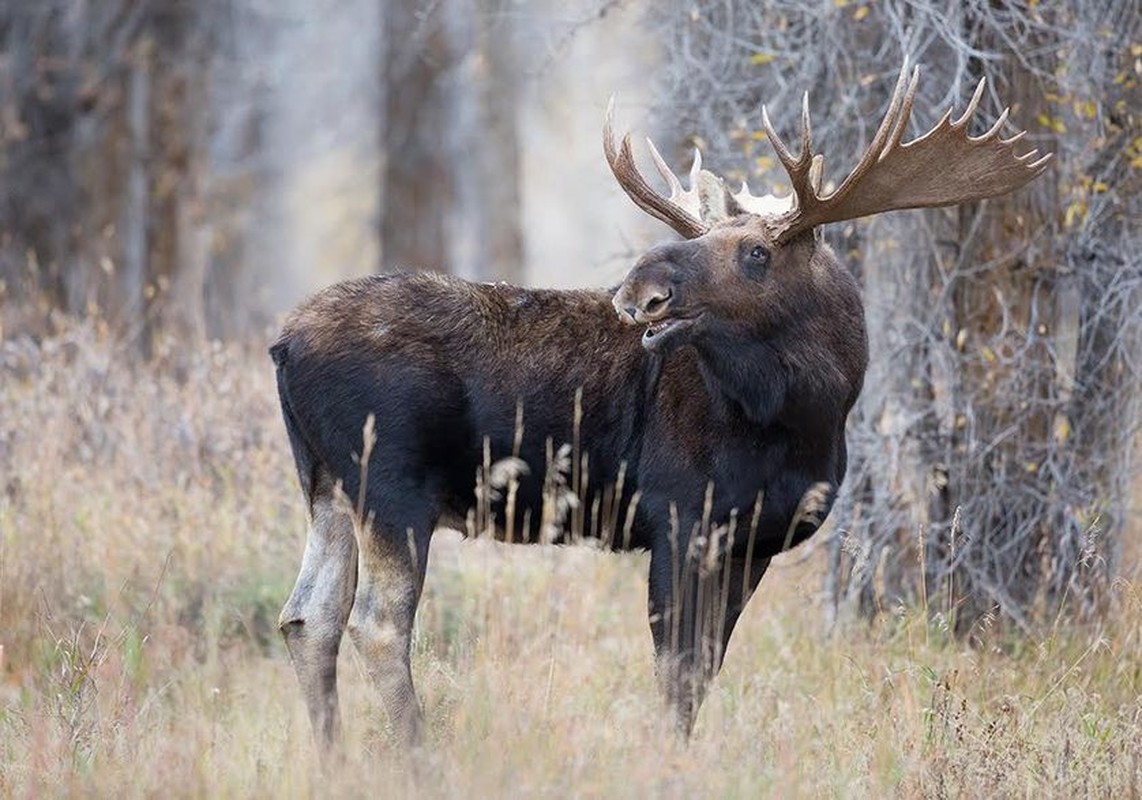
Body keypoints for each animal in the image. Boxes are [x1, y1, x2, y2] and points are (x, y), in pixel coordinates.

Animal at [269, 63, 1050, 748]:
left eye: (759, 253)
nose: (640, 288)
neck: (810, 416)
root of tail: (282, 345)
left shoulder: (751, 541)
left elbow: (704, 670)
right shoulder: (679, 516)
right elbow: (676, 672)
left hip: (327, 484)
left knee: (308, 618)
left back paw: (334, 759)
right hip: (392, 483)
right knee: (376, 624)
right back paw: (416, 756)